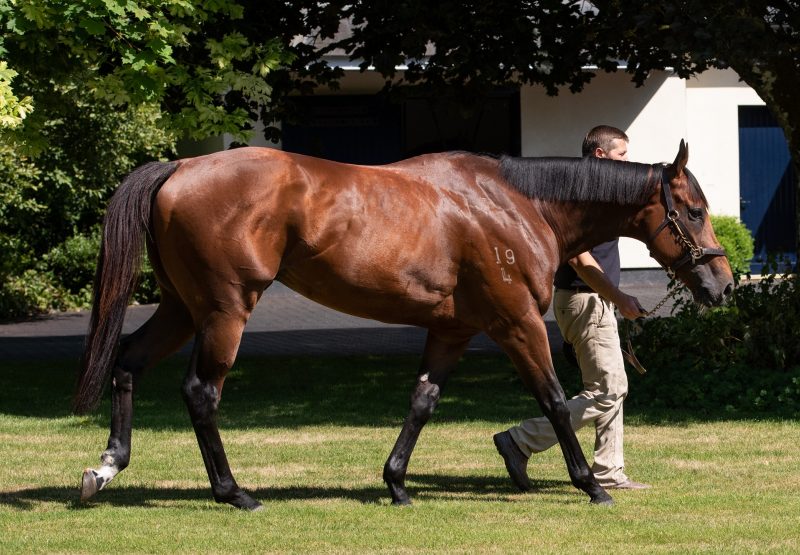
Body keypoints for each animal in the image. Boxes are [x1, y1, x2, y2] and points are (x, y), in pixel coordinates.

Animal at [73, 139, 732, 508]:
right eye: (694, 210)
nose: (722, 283)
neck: (517, 204)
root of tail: (180, 167)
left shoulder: (453, 331)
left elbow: (421, 402)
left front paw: (395, 483)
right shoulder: (516, 323)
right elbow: (551, 398)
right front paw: (590, 486)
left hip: (184, 309)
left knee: (128, 362)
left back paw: (105, 468)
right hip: (224, 311)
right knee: (200, 394)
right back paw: (234, 493)